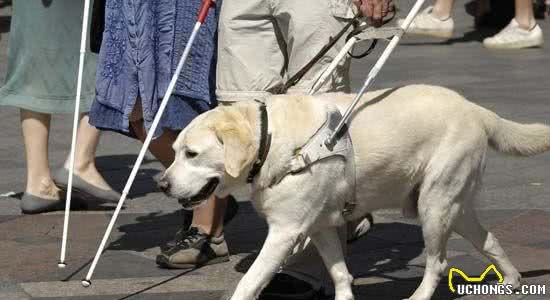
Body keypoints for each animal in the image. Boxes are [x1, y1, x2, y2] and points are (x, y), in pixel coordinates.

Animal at [158, 85, 550, 300]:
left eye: (191, 153)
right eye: (174, 151)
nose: (162, 184)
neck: (272, 140)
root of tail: (475, 108)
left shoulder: (285, 232)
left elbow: (249, 282)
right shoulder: (320, 226)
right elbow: (340, 273)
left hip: (435, 204)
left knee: (438, 263)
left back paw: (419, 295)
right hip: (455, 205)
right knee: (489, 239)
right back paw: (512, 281)